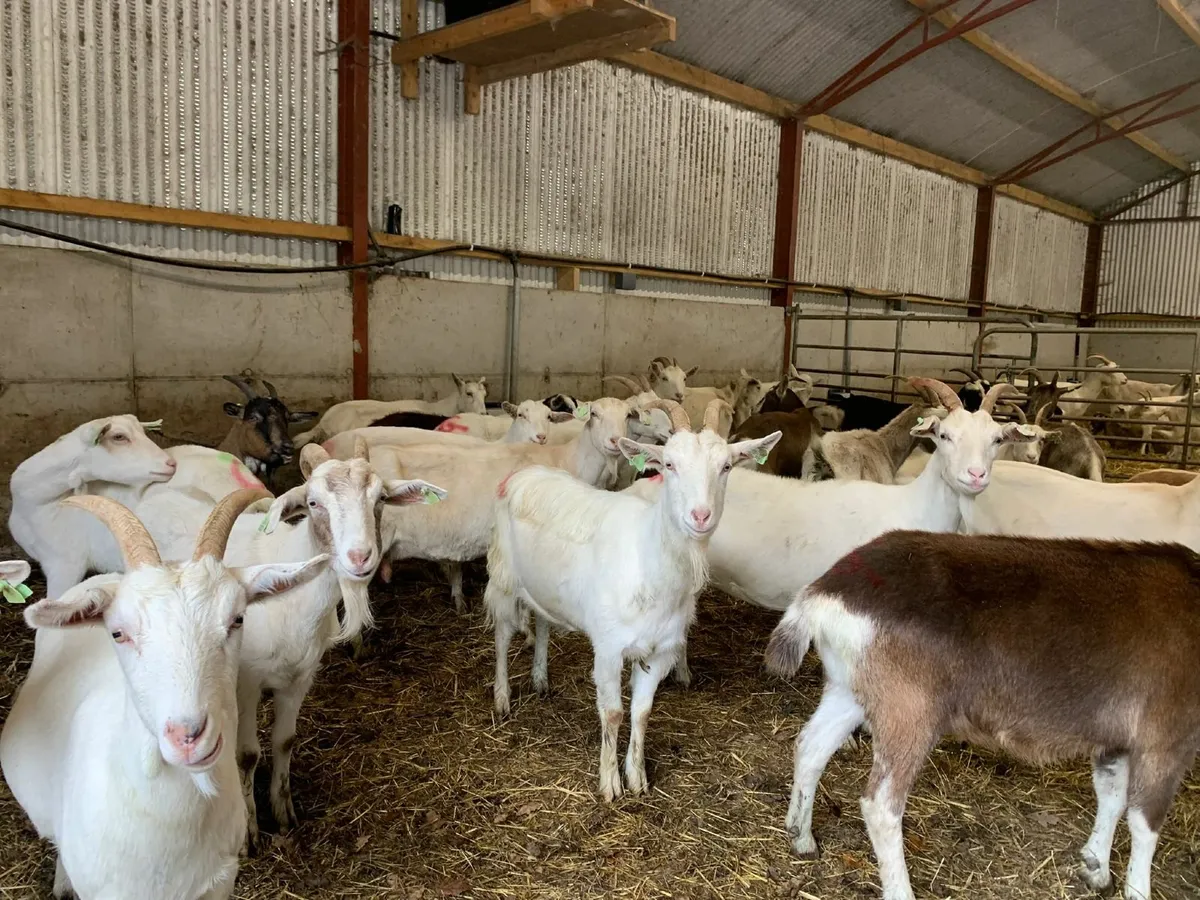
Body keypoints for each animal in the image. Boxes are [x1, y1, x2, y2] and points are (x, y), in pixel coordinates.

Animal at [487, 400, 781, 800]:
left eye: (725, 466)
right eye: (669, 464)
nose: (700, 516)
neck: (648, 560)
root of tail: (524, 474)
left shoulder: (660, 650)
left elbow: (642, 712)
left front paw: (637, 778)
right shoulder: (609, 647)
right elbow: (612, 713)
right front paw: (610, 784)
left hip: (543, 585)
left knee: (544, 621)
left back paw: (540, 679)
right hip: (504, 576)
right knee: (502, 635)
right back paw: (502, 698)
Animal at [765, 529, 1200, 900]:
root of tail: (821, 595)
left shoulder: (1116, 740)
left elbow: (1111, 796)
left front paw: (1096, 868)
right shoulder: (1167, 738)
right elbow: (1145, 820)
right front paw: (1137, 889)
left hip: (849, 688)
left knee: (811, 746)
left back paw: (801, 837)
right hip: (909, 708)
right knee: (880, 803)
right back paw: (899, 889)